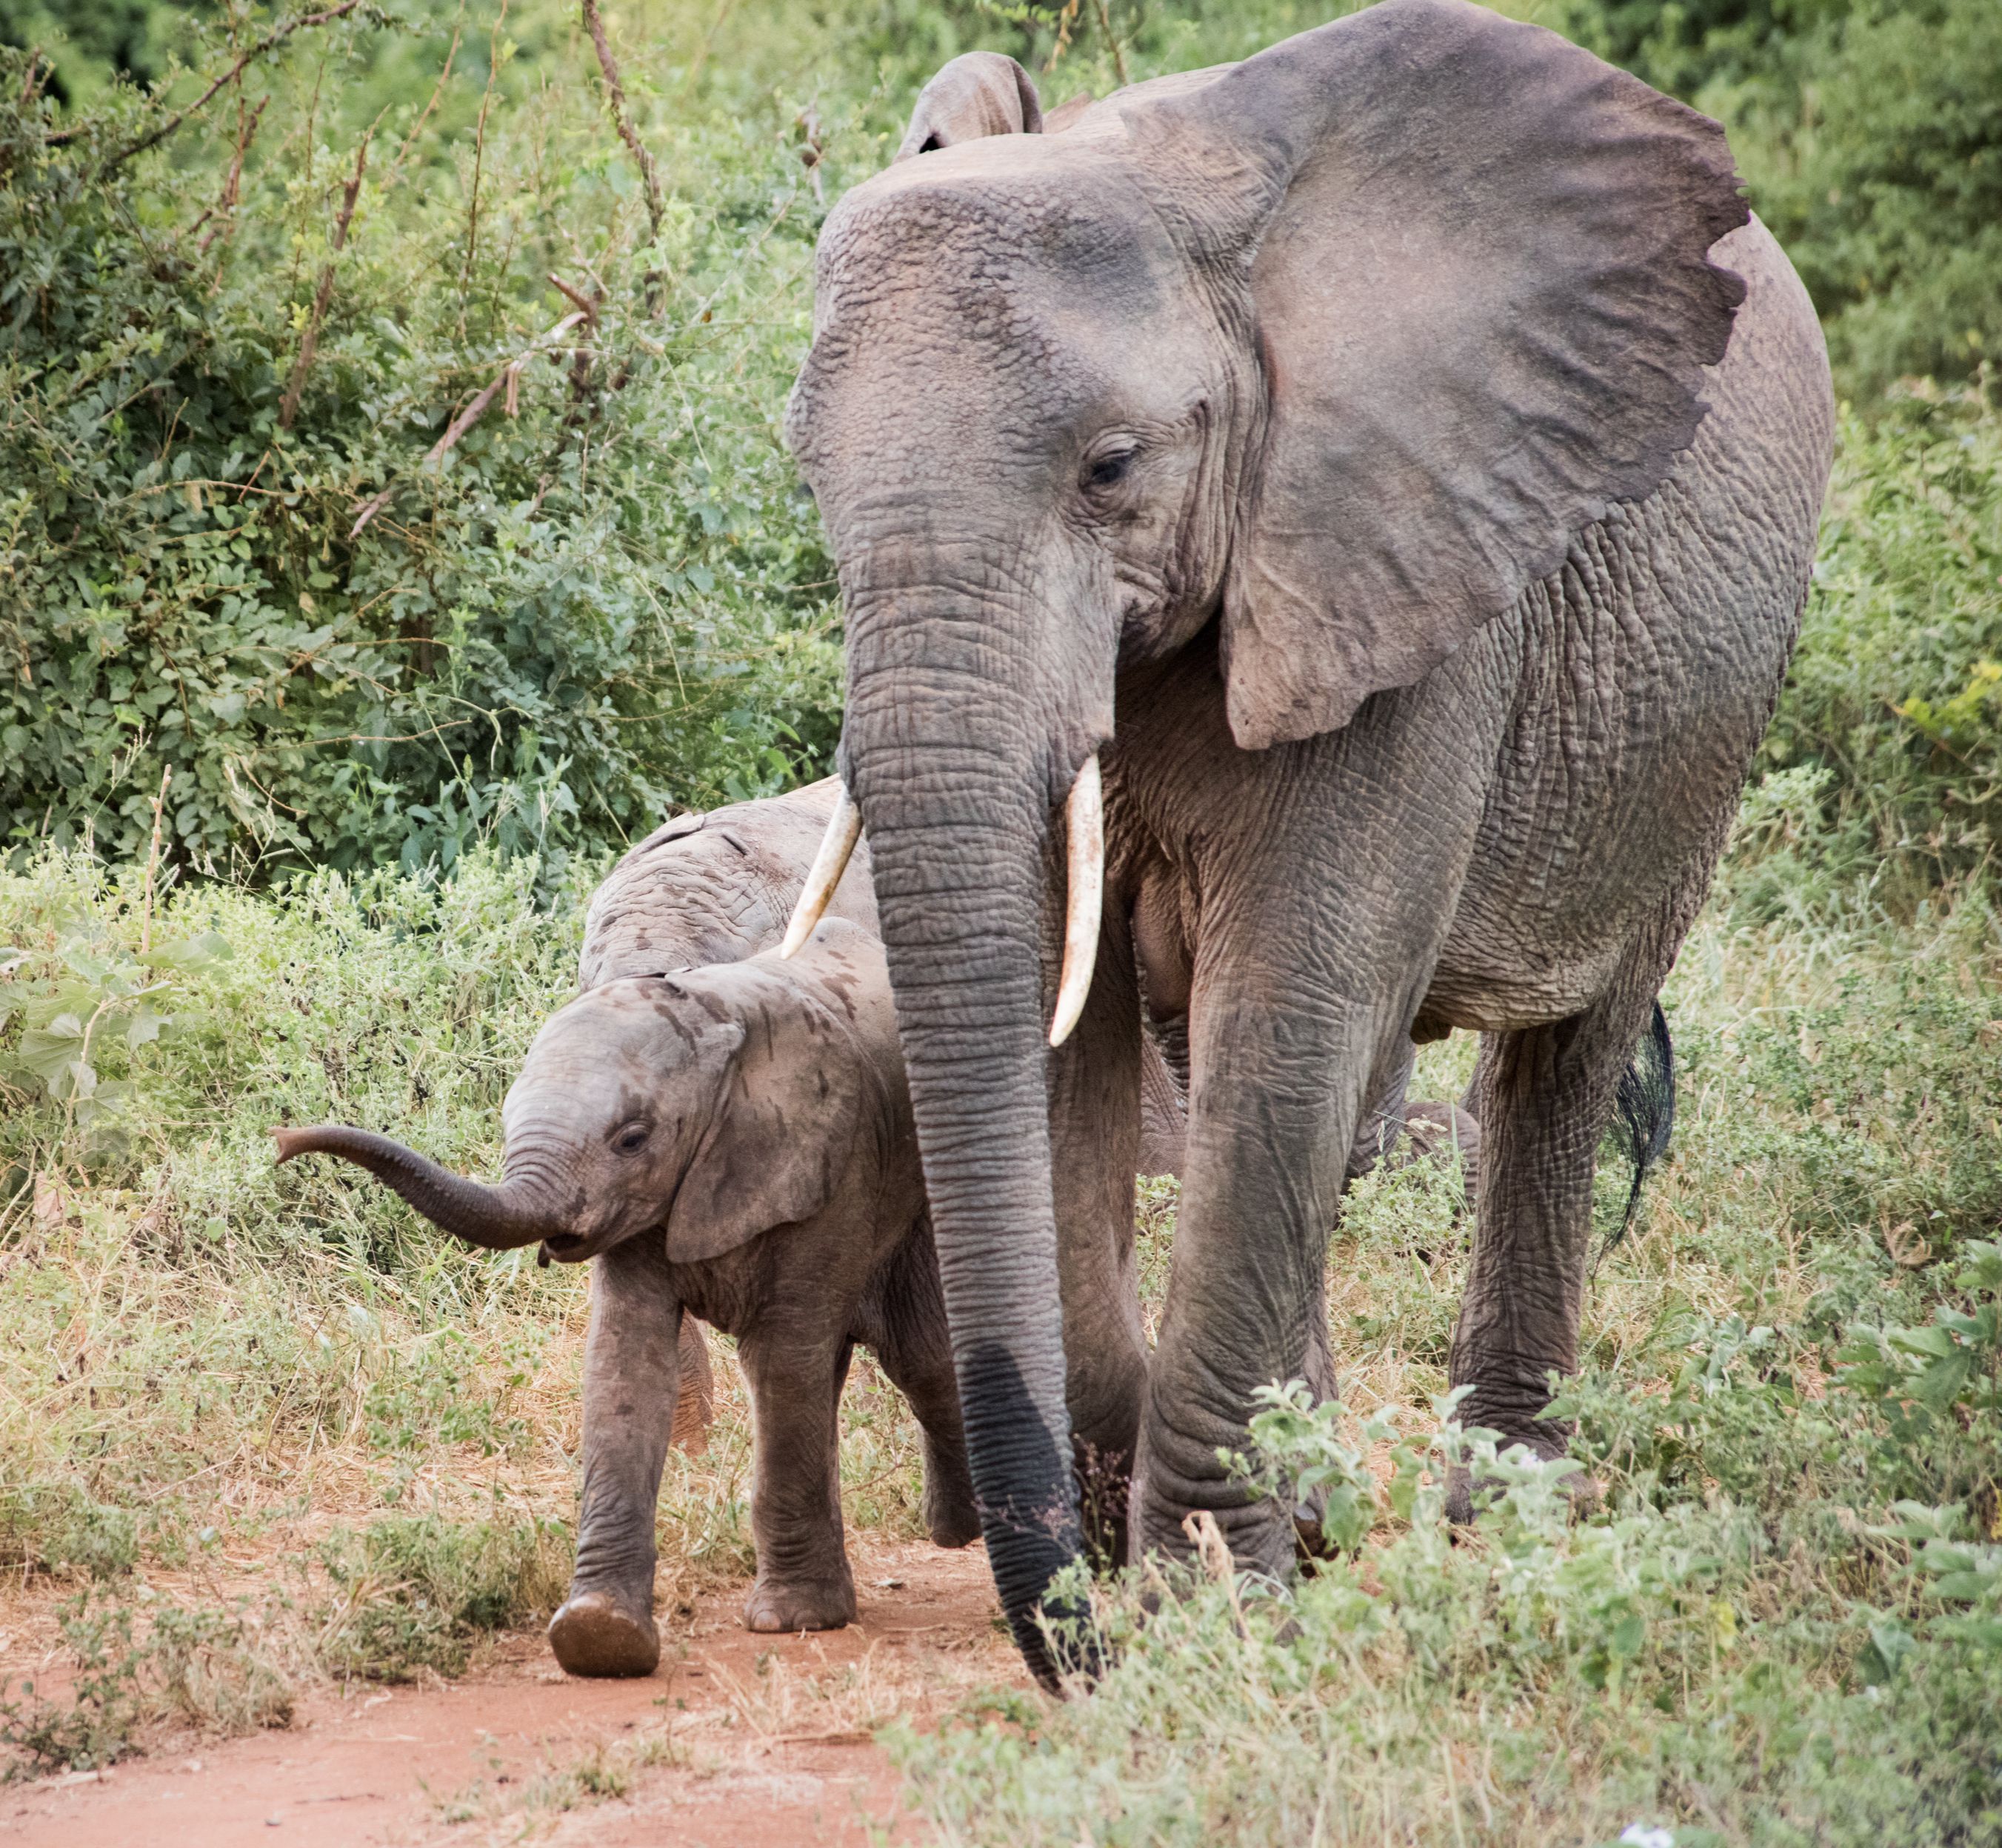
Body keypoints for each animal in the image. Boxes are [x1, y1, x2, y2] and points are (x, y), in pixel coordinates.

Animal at [778, 0, 1834, 1682]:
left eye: (1111, 468)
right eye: (805, 474)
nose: (1074, 1653)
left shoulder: (1401, 566)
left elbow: (1285, 1028)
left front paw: (1211, 1610)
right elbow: (1068, 1052)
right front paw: (1183, 1564)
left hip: (1698, 727)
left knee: (1555, 1070)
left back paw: (1500, 1527)